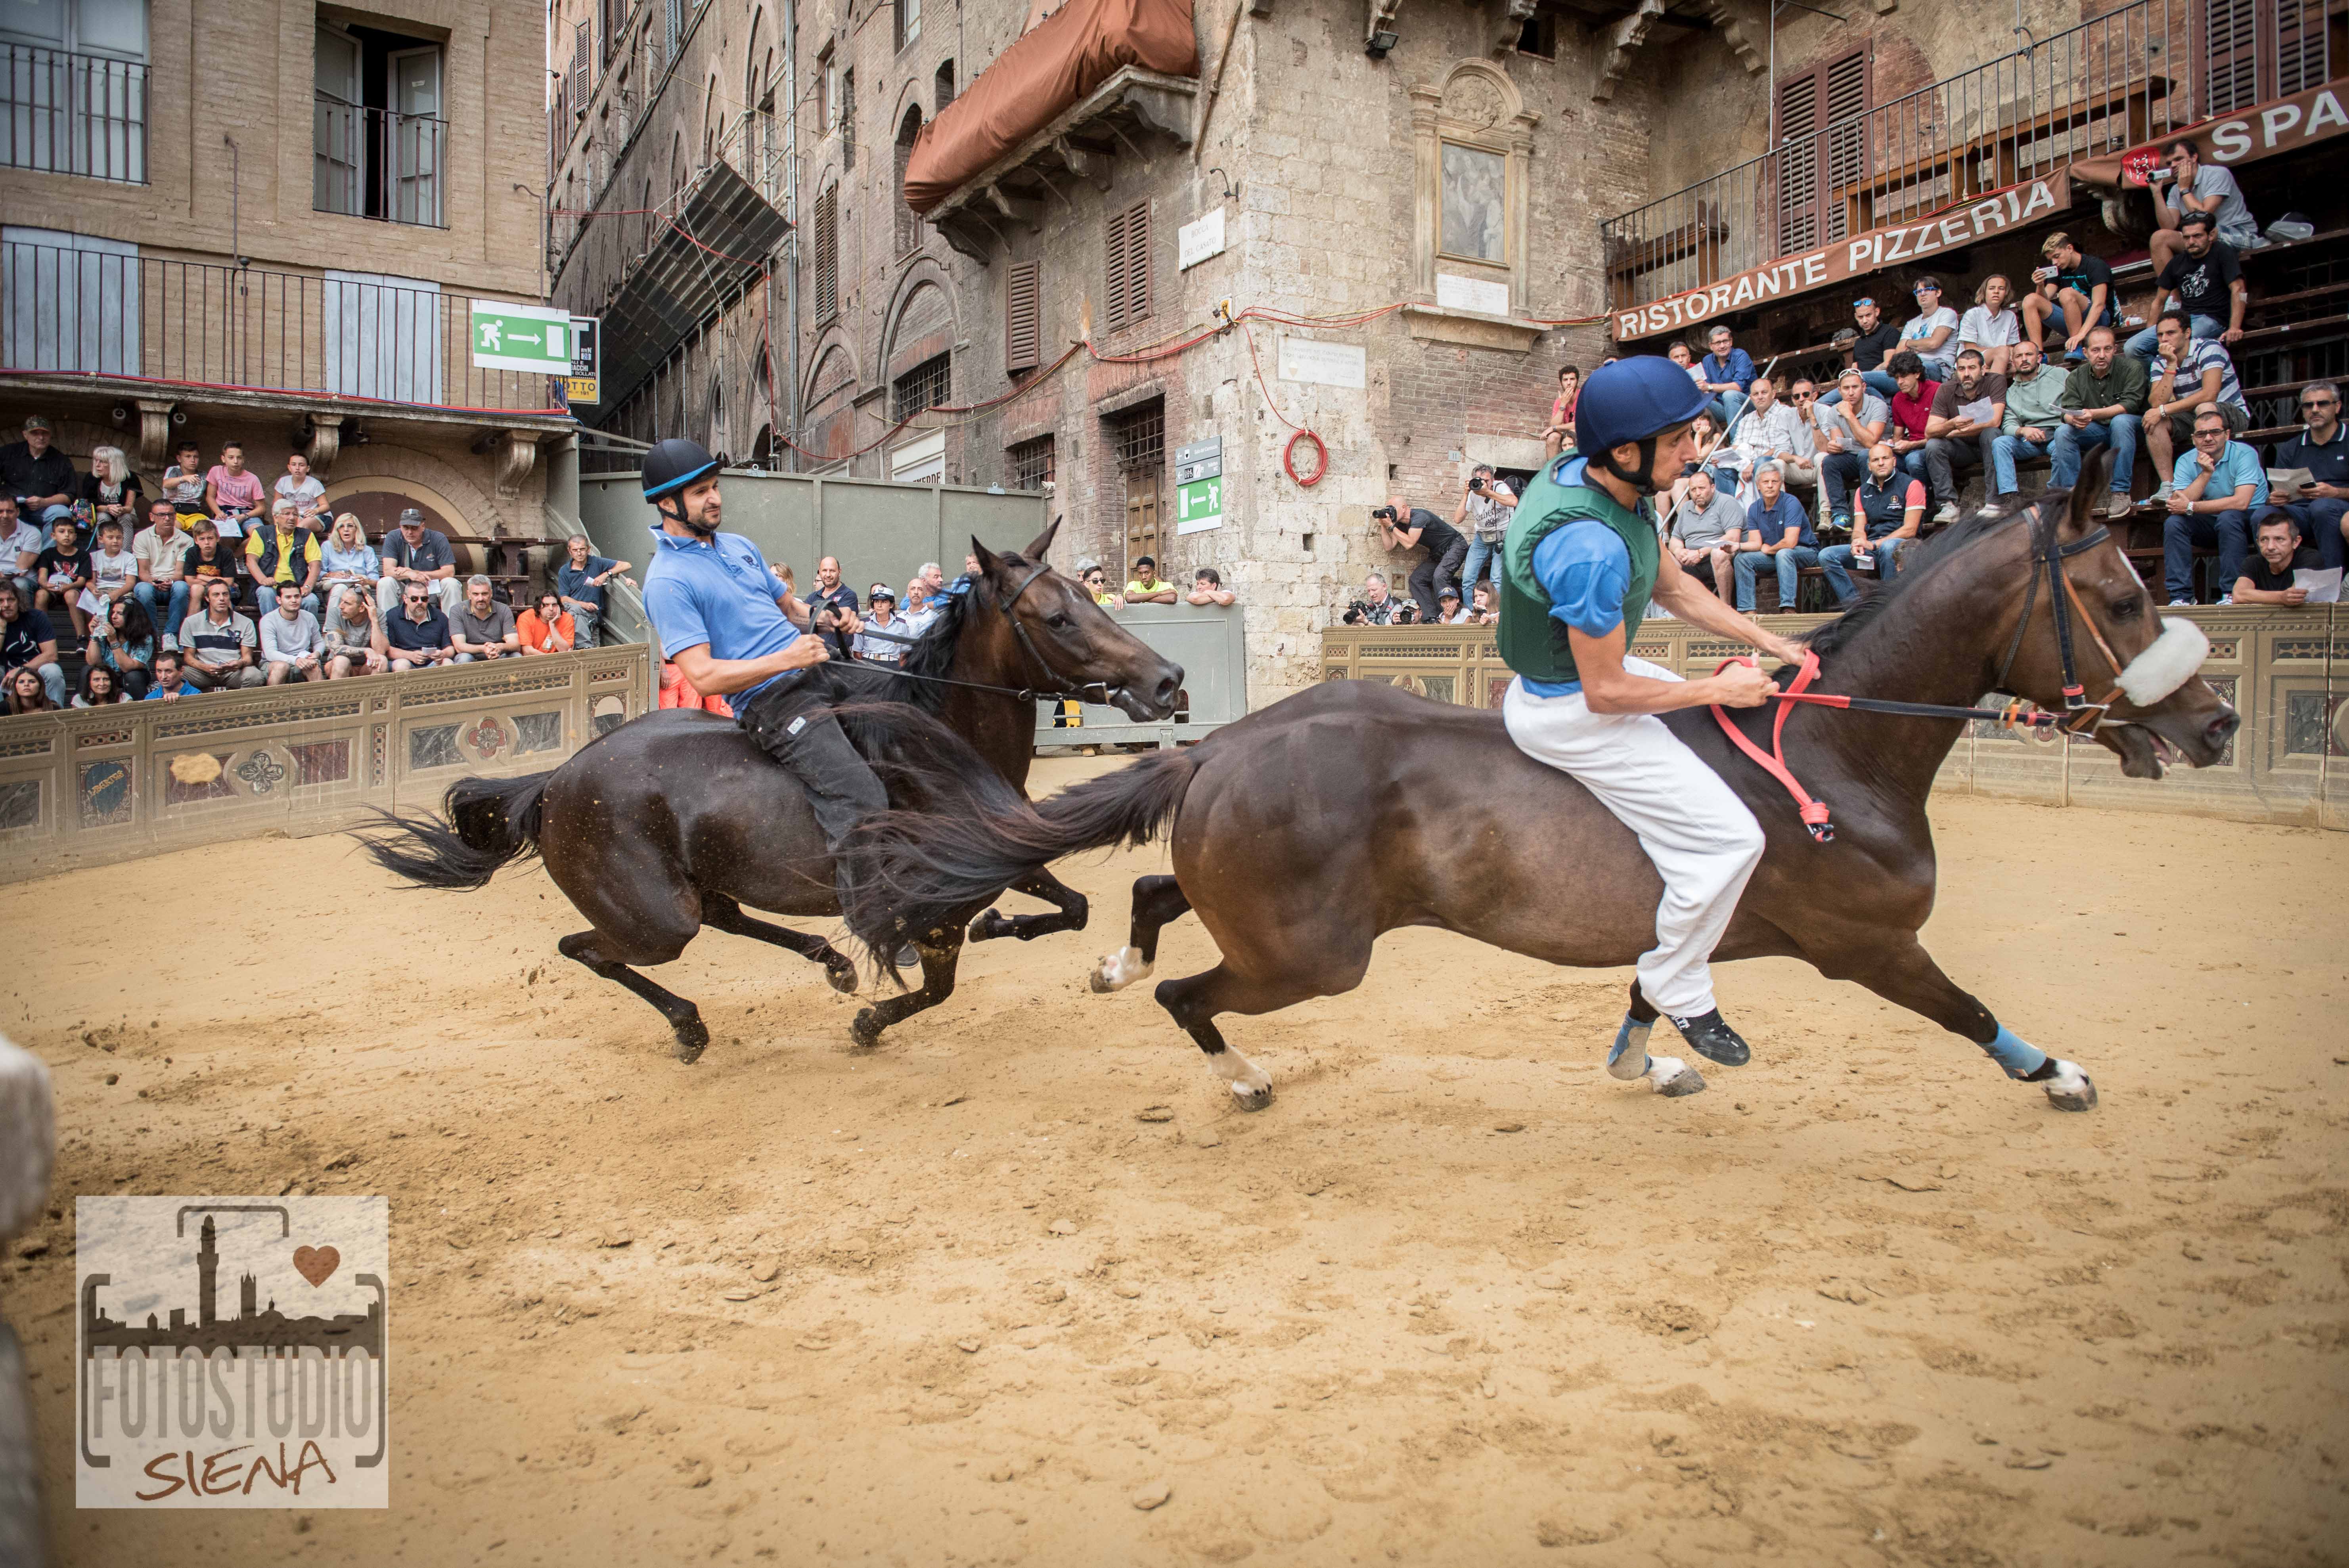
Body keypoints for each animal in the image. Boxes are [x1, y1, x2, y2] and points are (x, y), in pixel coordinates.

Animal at [364, 530, 1184, 1065]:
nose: (1169, 679)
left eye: (1089, 598)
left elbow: (1070, 910)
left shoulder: (992, 863)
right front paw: (872, 1022)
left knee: (725, 918)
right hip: (654, 921)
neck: (936, 745)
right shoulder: (931, 907)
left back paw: (829, 961)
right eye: (1058, 617)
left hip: (696, 887)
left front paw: (1003, 933)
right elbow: (940, 982)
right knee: (587, 949)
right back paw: (691, 1026)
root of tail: (557, 780)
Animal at [841, 460, 2236, 1122]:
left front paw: (1654, 1057)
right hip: (1314, 955)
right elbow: (1966, 1010)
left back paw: (1112, 965)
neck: (1838, 758)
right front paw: (2056, 1073)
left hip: (1267, 911)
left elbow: (1651, 982)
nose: (2217, 720)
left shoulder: (1701, 914)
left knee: (1146, 896)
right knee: (1191, 994)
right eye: (2121, 599)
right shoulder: (1870, 945)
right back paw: (1235, 1075)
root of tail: (1219, 745)